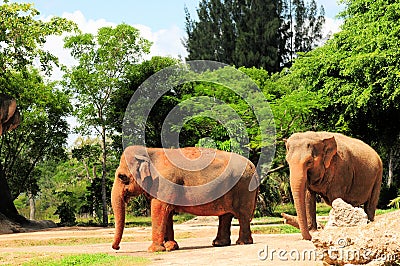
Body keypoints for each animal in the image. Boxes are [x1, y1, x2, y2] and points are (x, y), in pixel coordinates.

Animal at [111, 145, 258, 251]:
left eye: (122, 177)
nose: (116, 247)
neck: (150, 151)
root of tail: (254, 167)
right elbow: (167, 212)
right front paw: (171, 247)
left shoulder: (165, 181)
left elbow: (159, 208)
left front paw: (154, 250)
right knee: (226, 215)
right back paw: (219, 244)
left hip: (244, 187)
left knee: (242, 215)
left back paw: (242, 243)